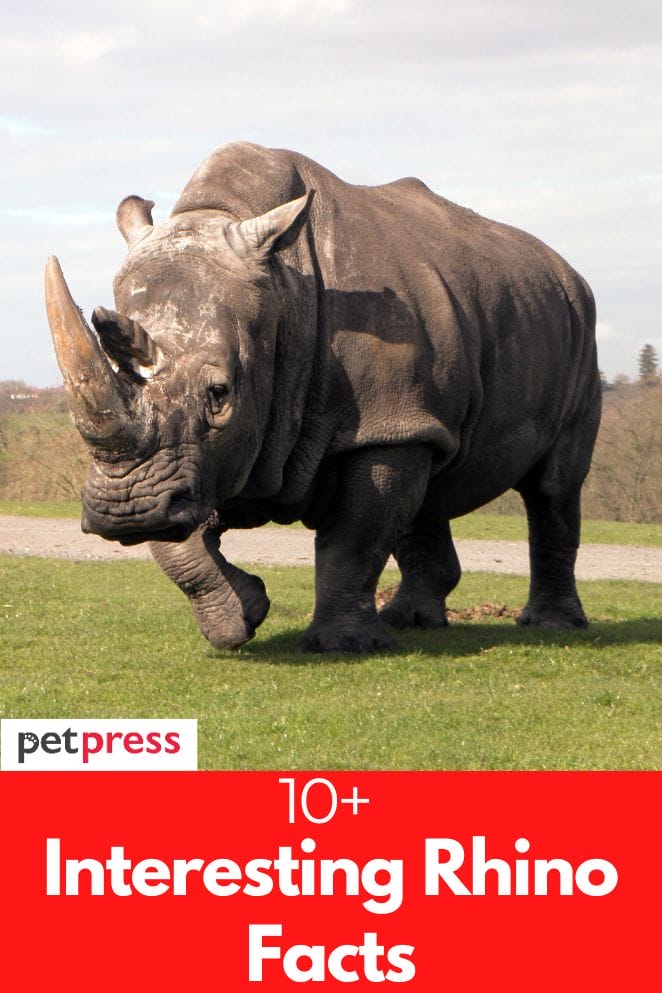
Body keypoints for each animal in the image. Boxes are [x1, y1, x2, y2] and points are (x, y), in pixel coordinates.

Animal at [45, 142, 601, 653]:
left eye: (220, 394)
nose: (124, 510)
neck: (283, 297)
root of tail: (566, 268)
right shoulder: (202, 464)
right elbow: (176, 539)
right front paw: (240, 618)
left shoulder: (378, 425)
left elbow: (355, 538)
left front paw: (341, 646)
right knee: (432, 467)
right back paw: (412, 622)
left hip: (578, 326)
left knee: (553, 488)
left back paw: (550, 626)